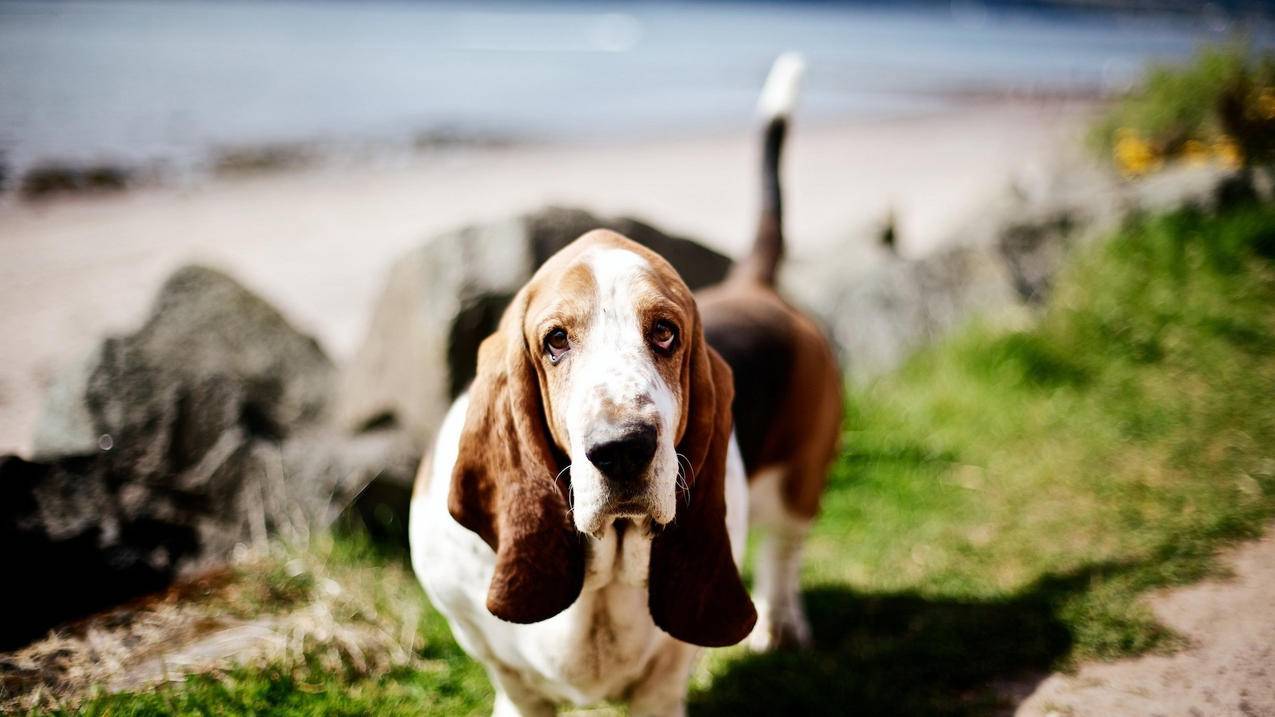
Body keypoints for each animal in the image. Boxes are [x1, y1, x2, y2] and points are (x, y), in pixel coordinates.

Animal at [413, 52, 841, 709]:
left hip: (800, 481)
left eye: (664, 332)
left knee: (785, 550)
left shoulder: (663, 684)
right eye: (555, 340)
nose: (622, 450)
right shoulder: (492, 656)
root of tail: (755, 286)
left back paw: (781, 624)